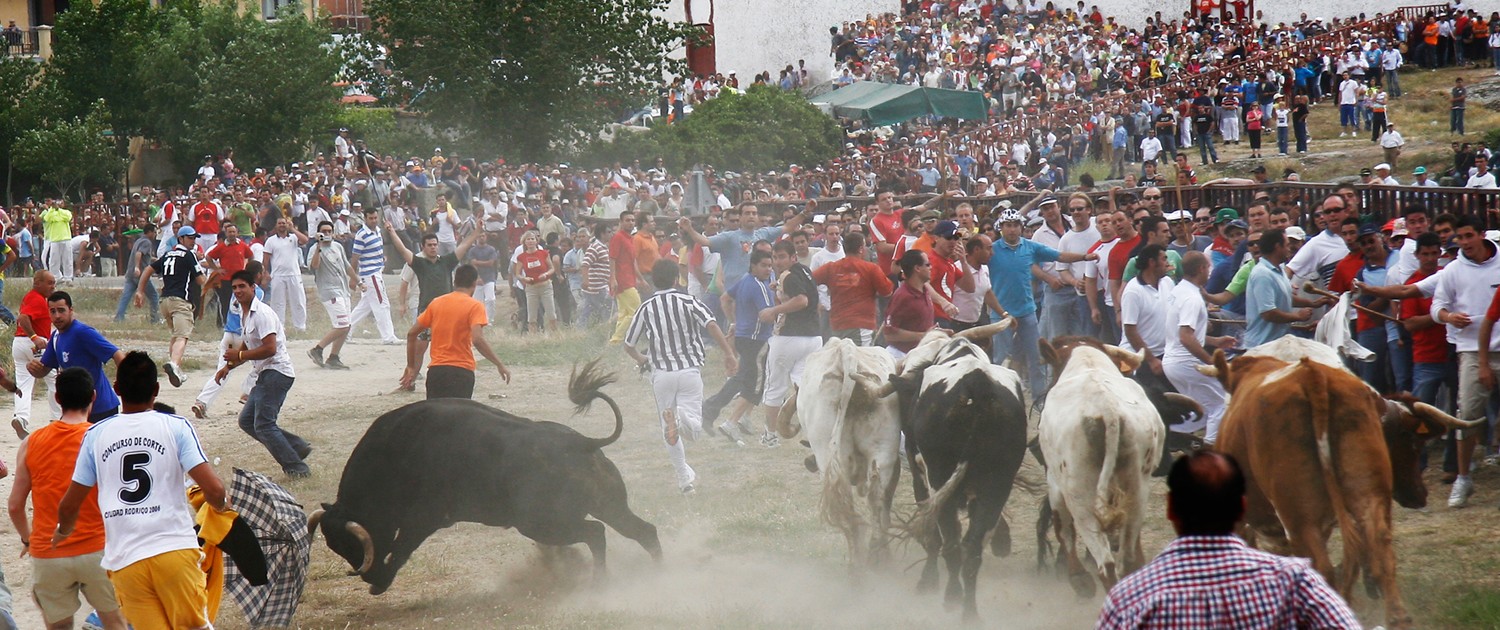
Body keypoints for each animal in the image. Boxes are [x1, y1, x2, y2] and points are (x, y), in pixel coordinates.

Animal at [307, 361, 660, 594]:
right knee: (642, 530)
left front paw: (382, 581)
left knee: (596, 533)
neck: (394, 454)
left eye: (354, 544)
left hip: (542, 523)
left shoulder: (423, 519)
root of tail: (582, 442)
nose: (369, 578)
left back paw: (601, 582)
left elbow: (401, 547)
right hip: (607, 506)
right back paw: (660, 572)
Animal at [780, 339, 894, 570]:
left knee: (847, 508)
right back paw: (880, 558)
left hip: (829, 456)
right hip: (884, 453)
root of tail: (846, 352)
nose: (809, 462)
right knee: (877, 499)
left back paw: (856, 566)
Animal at [1038, 339, 1164, 597]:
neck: (1088, 364)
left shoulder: (1055, 483)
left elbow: (1063, 528)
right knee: (1128, 559)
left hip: (1080, 496)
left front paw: (1078, 578)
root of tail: (1108, 411)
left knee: (1105, 564)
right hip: (1137, 488)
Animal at [1212, 352, 1470, 627]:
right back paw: (1394, 617)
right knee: (1380, 551)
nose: (1420, 494)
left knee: (1321, 567)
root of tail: (1311, 375)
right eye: (1412, 443)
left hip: (1300, 519)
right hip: (1368, 497)